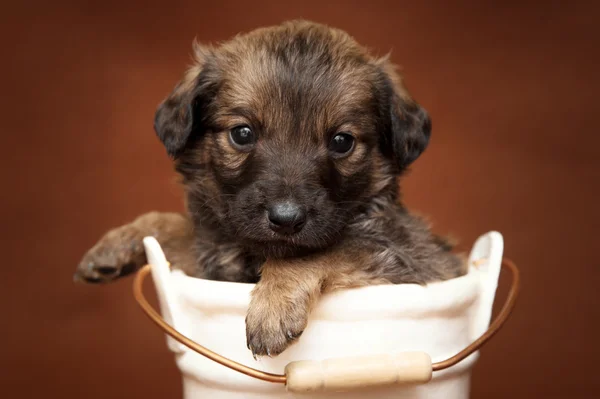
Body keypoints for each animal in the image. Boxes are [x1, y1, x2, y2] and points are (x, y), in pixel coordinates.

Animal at [75, 21, 466, 360]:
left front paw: (272, 307)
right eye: (242, 133)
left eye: (342, 142)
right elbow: (175, 225)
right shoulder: (212, 258)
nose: (286, 219)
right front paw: (120, 241)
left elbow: (320, 250)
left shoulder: (411, 256)